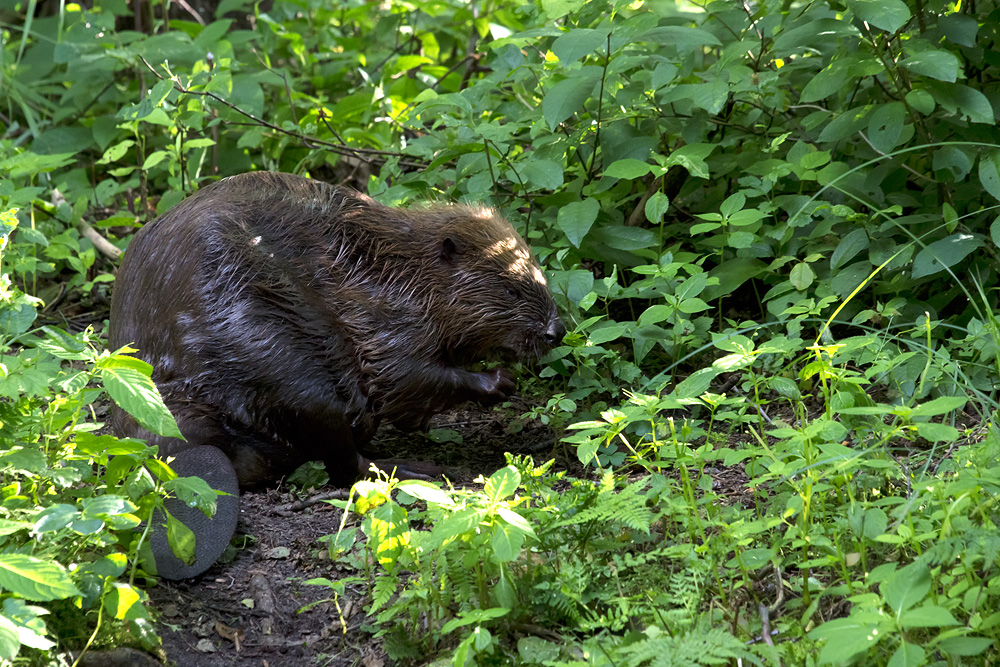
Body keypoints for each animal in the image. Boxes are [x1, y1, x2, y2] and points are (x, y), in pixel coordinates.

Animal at [111, 172, 564, 580]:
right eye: (510, 290)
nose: (555, 331)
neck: (402, 269)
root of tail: (174, 452)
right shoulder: (387, 318)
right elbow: (402, 379)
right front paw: (498, 381)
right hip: (281, 357)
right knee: (345, 461)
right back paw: (417, 469)